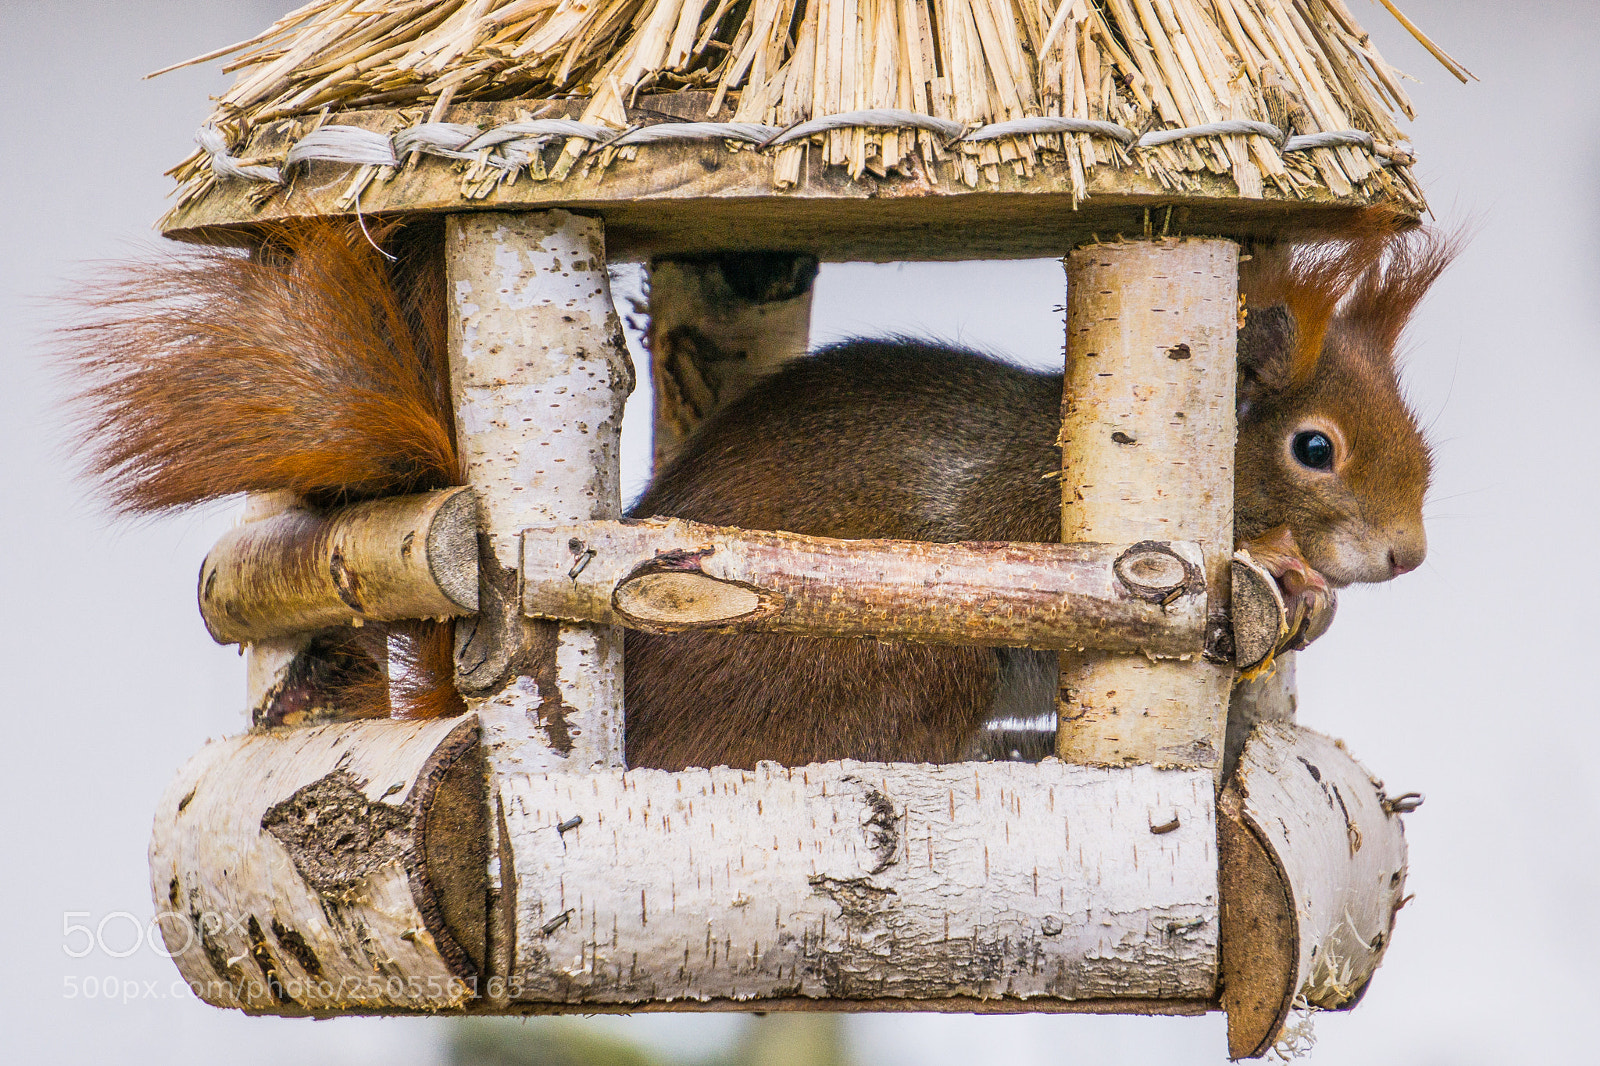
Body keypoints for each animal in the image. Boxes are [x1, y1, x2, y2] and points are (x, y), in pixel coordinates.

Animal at [60, 216, 1453, 762]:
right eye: (1314, 448)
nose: (1406, 556)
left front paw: (1311, 597)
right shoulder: (1032, 513)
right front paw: (1290, 564)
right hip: (900, 680)